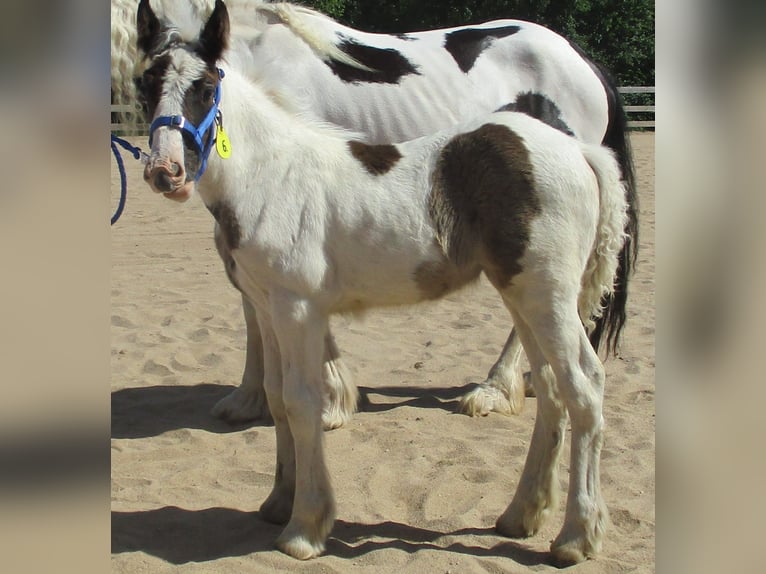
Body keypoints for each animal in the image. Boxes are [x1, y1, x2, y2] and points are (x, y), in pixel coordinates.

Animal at [138, 0, 632, 568]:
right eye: (145, 83)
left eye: (204, 86)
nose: (166, 173)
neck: (272, 174)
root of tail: (579, 152)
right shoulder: (267, 306)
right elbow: (278, 398)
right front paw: (278, 502)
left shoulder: (297, 309)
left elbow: (303, 402)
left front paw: (305, 527)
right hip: (523, 296)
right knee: (550, 389)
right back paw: (521, 515)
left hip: (547, 296)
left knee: (584, 388)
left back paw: (576, 536)